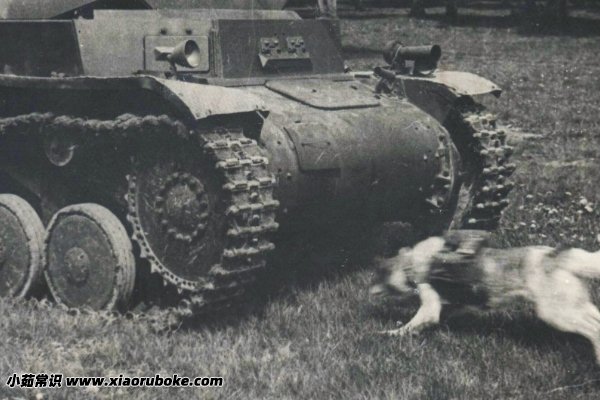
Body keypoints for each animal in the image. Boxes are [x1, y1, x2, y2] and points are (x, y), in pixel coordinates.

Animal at [370, 230, 600, 363]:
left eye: (379, 274)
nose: (368, 290)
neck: (412, 263)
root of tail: (558, 256)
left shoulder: (429, 308)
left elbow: (408, 326)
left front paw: (388, 334)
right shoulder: (450, 306)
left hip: (557, 312)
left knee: (593, 328)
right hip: (571, 305)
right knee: (595, 319)